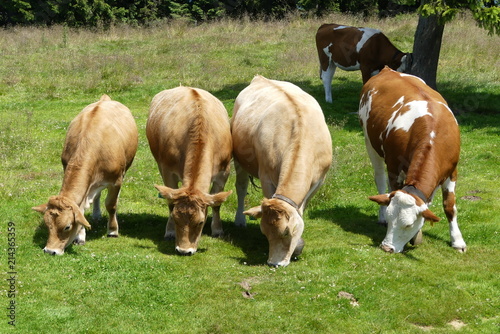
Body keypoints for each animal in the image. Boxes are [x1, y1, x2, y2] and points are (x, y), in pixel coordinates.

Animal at [32, 94, 139, 256]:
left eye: (67, 227)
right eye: (47, 225)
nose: (50, 251)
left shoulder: (115, 181)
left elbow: (111, 205)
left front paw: (113, 230)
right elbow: (81, 210)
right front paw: (80, 237)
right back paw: (96, 214)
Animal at [146, 86, 232, 256]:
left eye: (200, 222)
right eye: (176, 218)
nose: (184, 251)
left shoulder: (224, 171)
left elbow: (216, 204)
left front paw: (217, 230)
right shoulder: (167, 170)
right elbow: (170, 202)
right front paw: (170, 231)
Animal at [232, 75, 334, 266]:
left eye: (286, 232)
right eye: (264, 233)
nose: (274, 263)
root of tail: (260, 78)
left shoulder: (318, 181)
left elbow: (301, 210)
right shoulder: (266, 177)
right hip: (239, 159)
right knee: (241, 188)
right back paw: (239, 220)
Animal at [358, 68, 466, 253]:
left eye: (408, 225)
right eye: (391, 219)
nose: (386, 247)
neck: (433, 133)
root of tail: (387, 70)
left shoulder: (452, 171)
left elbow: (449, 206)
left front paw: (457, 241)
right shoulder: (394, 166)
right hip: (369, 143)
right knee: (380, 179)